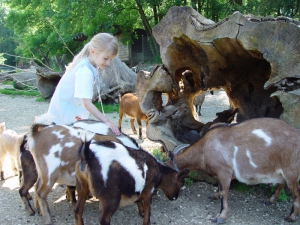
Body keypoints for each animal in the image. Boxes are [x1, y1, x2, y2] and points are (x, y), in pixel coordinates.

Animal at [168, 118, 300, 223]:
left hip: (291, 170)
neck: (204, 148)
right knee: (281, 183)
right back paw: (270, 200)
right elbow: (220, 187)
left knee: (296, 193)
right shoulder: (220, 174)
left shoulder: (224, 171)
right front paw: (215, 196)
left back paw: (291, 217)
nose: (173, 197)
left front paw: (221, 216)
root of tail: (296, 132)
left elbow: (224, 192)